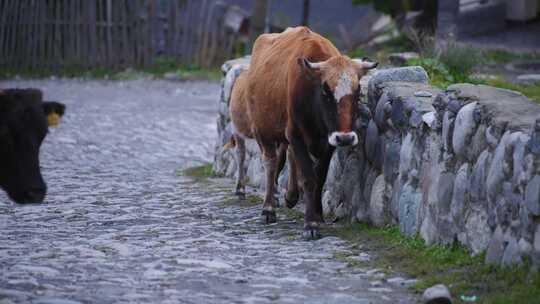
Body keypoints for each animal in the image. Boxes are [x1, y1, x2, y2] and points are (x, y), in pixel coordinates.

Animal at [246, 26, 376, 238]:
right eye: (325, 90)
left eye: (357, 91)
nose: (346, 138)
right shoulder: (296, 134)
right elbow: (308, 178)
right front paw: (310, 224)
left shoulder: (329, 139)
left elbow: (320, 176)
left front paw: (318, 215)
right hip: (261, 130)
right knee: (271, 162)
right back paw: (268, 208)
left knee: (287, 156)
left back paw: (290, 196)